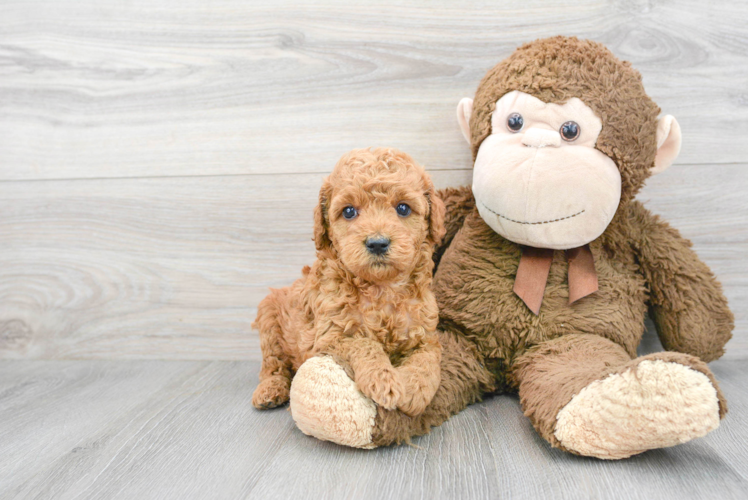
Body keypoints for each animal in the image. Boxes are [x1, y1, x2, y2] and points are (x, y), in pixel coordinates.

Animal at [254, 146, 448, 416]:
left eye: (403, 208)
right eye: (348, 211)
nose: (377, 243)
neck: (381, 289)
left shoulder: (425, 335)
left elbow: (428, 361)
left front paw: (414, 391)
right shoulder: (327, 339)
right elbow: (363, 344)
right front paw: (383, 380)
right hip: (269, 316)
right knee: (273, 364)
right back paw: (269, 391)